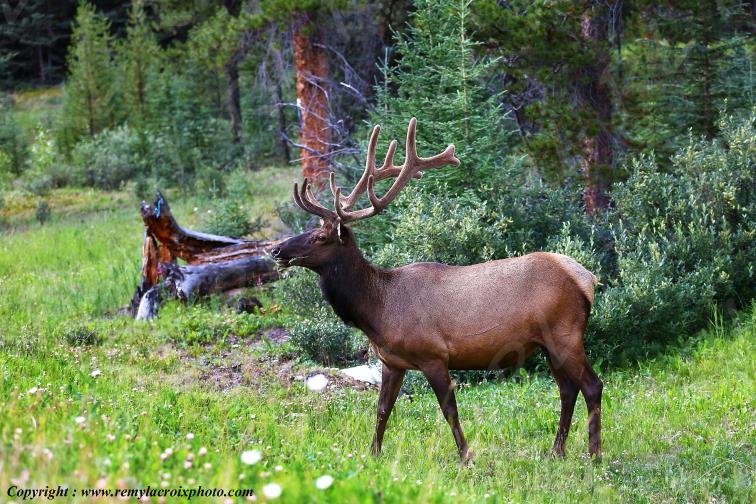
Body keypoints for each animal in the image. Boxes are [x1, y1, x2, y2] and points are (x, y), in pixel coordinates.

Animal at [271, 118, 603, 462]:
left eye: (320, 238)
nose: (276, 250)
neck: (376, 311)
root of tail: (586, 278)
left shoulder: (433, 355)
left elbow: (449, 410)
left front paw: (466, 457)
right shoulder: (391, 362)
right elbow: (382, 410)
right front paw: (372, 455)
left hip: (565, 334)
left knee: (593, 385)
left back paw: (594, 455)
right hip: (548, 344)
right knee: (568, 389)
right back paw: (556, 451)